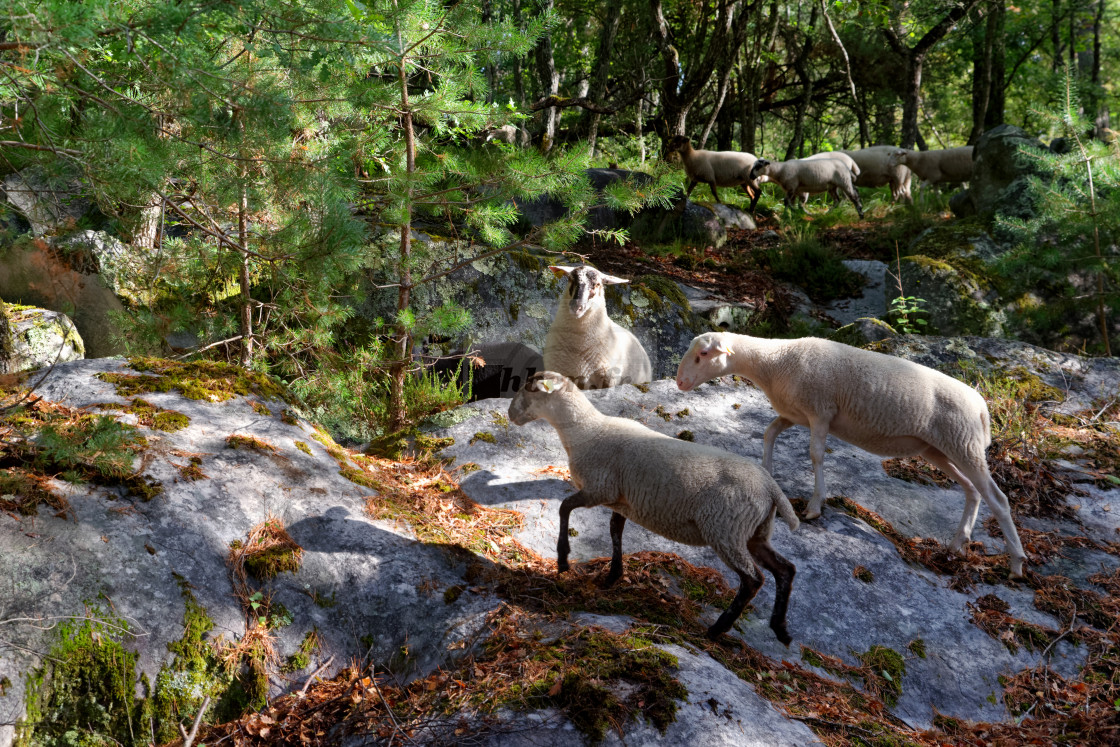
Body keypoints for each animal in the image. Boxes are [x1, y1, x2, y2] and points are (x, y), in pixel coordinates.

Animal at [512, 371, 801, 645]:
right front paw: (613, 576)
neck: (587, 432)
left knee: (753, 580)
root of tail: (770, 487)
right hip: (754, 532)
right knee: (785, 570)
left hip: (725, 529)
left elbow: (564, 508)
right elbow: (614, 531)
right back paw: (781, 629)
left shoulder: (600, 489)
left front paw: (563, 559)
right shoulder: (622, 501)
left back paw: (717, 629)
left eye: (529, 390)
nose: (510, 413)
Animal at [676, 329, 1025, 582]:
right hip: (939, 449)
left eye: (703, 354)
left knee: (997, 498)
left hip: (964, 443)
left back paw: (1017, 564)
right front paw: (767, 474)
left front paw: (815, 506)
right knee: (972, 490)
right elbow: (769, 433)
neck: (775, 361)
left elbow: (816, 455)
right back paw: (958, 542)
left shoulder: (820, 411)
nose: (680, 382)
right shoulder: (794, 414)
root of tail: (982, 408)